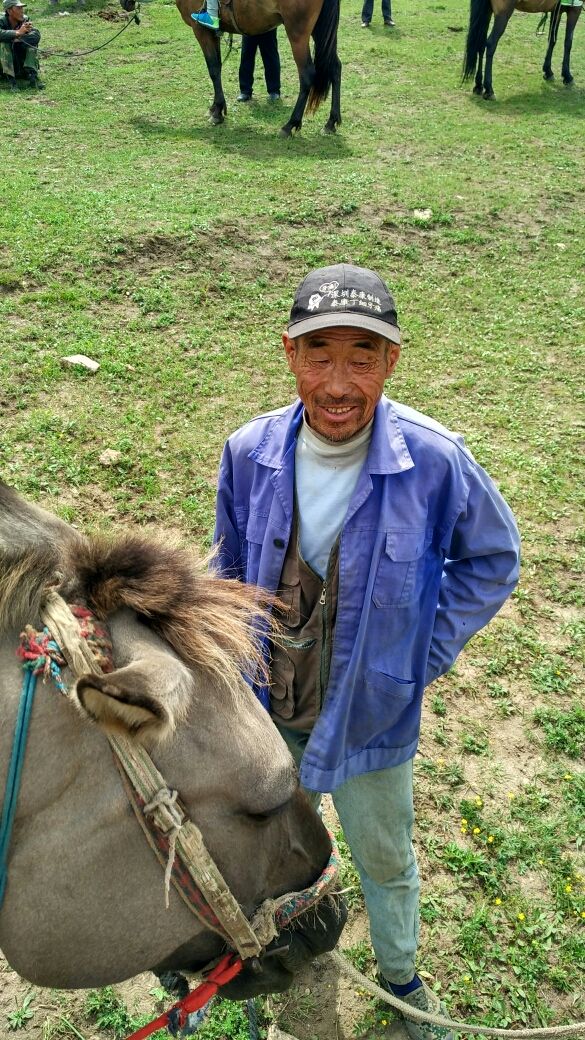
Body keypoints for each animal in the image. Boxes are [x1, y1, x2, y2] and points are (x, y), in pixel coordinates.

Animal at [122, 0, 341, 135]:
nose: (125, 4)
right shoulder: (213, 33)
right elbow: (217, 67)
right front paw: (216, 108)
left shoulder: (201, 30)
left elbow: (213, 69)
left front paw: (217, 113)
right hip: (319, 30)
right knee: (335, 68)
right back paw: (331, 123)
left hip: (297, 32)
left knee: (307, 74)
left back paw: (290, 125)